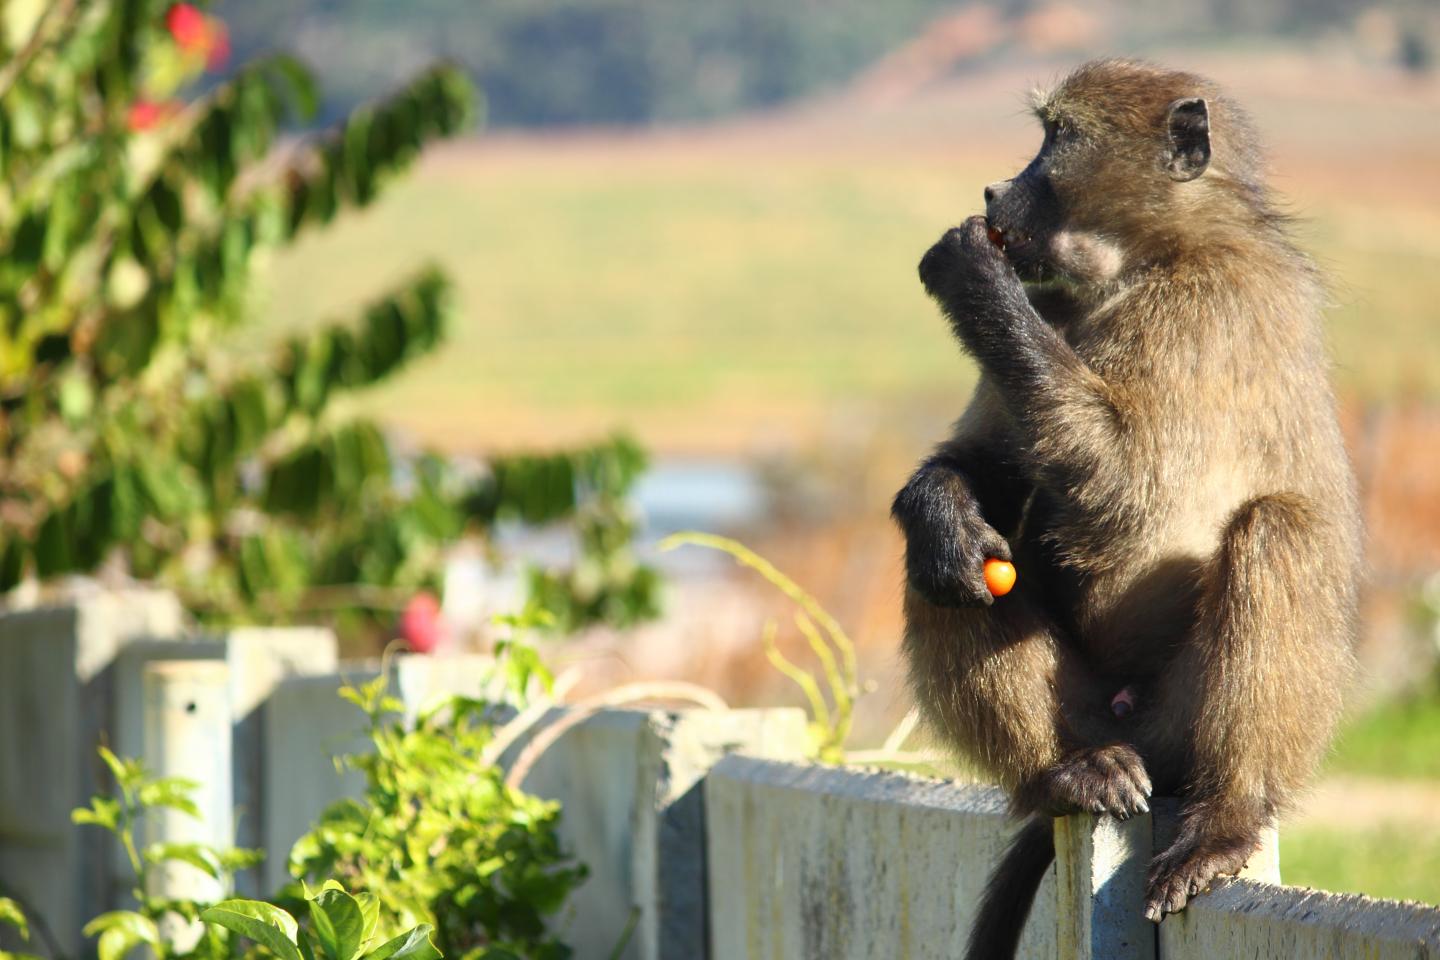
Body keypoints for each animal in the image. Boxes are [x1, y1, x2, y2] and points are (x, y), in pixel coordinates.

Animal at [890, 59, 1360, 957]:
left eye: (1057, 137)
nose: (995, 189)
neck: (1145, 259)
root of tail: (1138, 736)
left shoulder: (1208, 307)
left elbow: (1127, 486)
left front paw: (971, 275)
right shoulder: (1060, 308)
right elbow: (989, 469)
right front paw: (940, 509)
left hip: (1183, 717)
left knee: (1278, 531)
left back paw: (1228, 818)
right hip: (1087, 709)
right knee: (947, 576)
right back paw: (1067, 771)